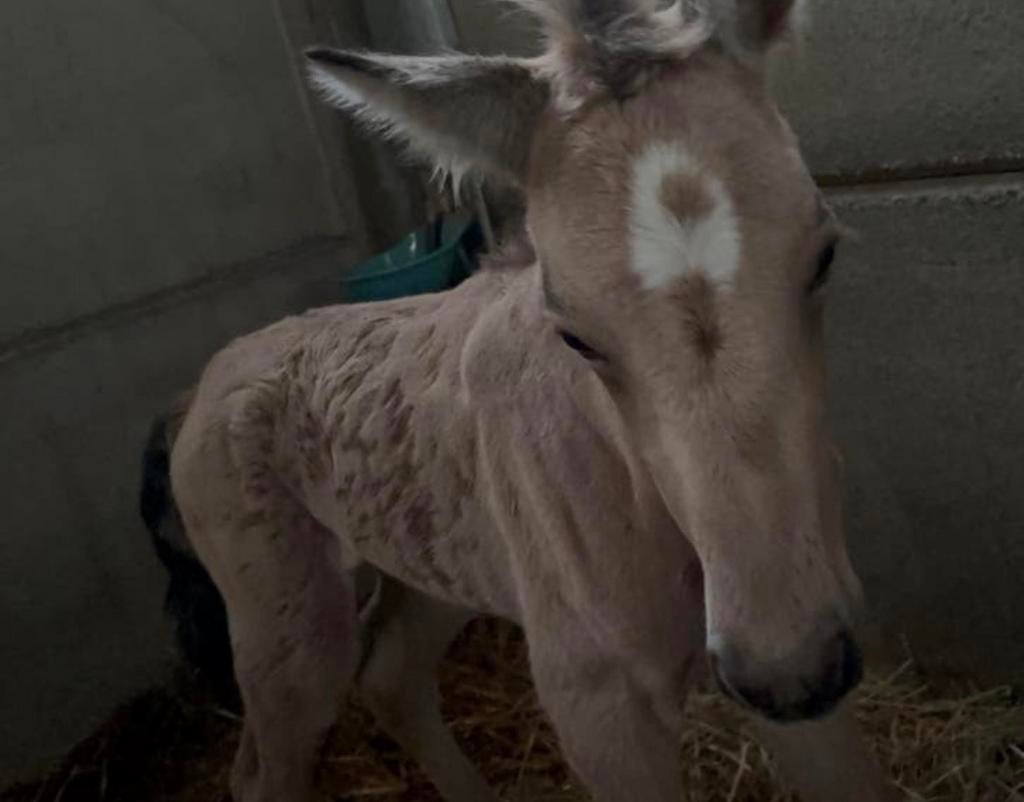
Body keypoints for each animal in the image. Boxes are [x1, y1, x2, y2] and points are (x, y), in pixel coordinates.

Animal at [165, 1, 896, 799]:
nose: (792, 670)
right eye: (574, 333)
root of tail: (203, 387)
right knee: (263, 767)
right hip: (285, 623)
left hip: (436, 566)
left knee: (391, 673)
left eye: (824, 254)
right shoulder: (596, 702)